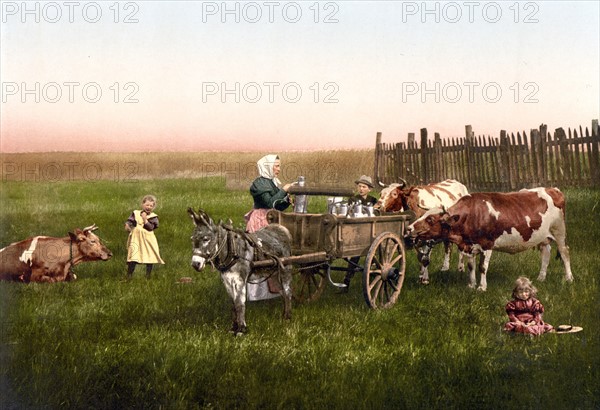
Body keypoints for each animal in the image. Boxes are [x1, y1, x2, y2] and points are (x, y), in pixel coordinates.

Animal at [406, 187, 576, 290]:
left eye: (430, 219)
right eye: (423, 216)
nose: (409, 228)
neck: (471, 215)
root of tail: (553, 189)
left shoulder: (487, 244)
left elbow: (482, 267)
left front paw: (482, 287)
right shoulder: (470, 246)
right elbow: (471, 266)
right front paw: (471, 285)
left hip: (559, 231)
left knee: (565, 252)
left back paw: (569, 278)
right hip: (542, 237)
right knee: (546, 253)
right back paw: (541, 278)